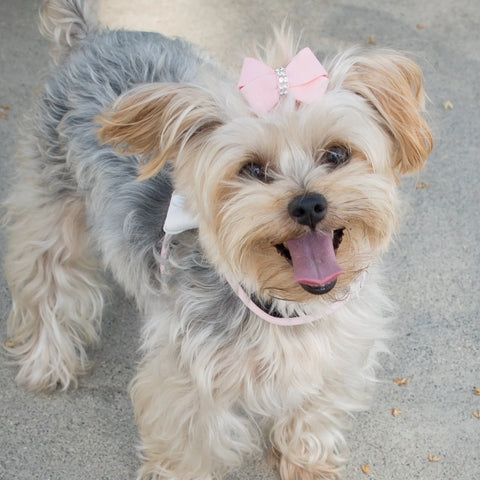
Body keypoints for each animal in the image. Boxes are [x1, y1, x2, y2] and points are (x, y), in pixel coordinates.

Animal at [2, 0, 432, 480]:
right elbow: (187, 447)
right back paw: (47, 362)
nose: (308, 205)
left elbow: (312, 414)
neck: (284, 304)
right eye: (252, 169)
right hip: (52, 204)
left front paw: (309, 462)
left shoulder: (331, 358)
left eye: (336, 153)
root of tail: (90, 37)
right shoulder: (187, 382)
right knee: (48, 282)